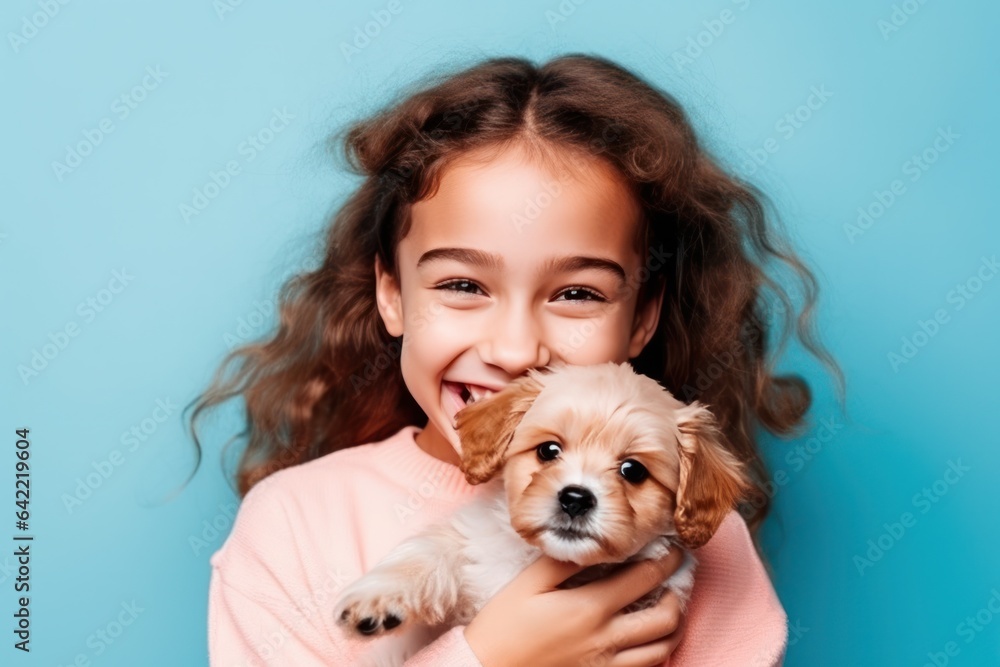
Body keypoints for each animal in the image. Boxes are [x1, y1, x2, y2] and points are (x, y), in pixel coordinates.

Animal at [334, 362, 752, 664]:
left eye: (633, 471)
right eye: (548, 450)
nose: (575, 498)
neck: (539, 557)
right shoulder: (474, 541)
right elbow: (429, 554)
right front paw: (376, 600)